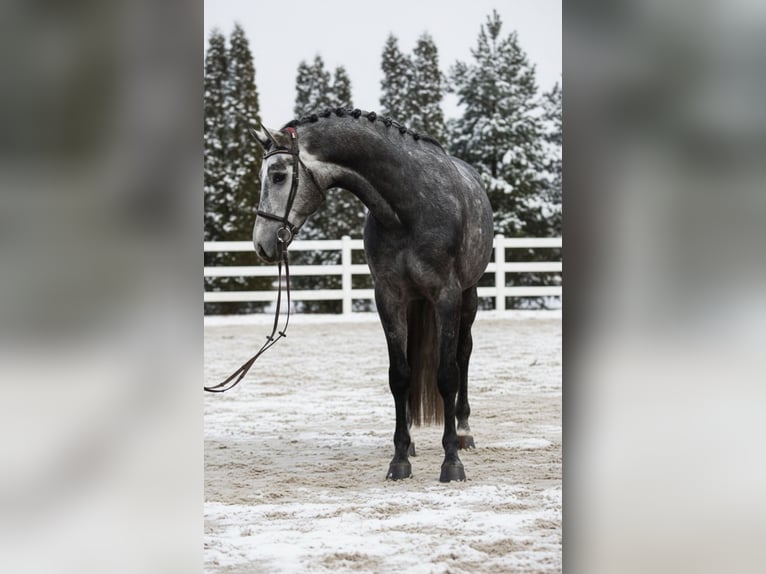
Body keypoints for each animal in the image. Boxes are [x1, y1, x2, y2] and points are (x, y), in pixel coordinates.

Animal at [250, 108, 493, 482]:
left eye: (277, 176)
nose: (261, 243)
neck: (409, 209)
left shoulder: (447, 297)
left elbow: (447, 374)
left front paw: (451, 462)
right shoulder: (389, 297)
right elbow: (400, 375)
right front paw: (399, 459)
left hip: (469, 297)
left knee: (464, 354)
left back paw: (465, 432)